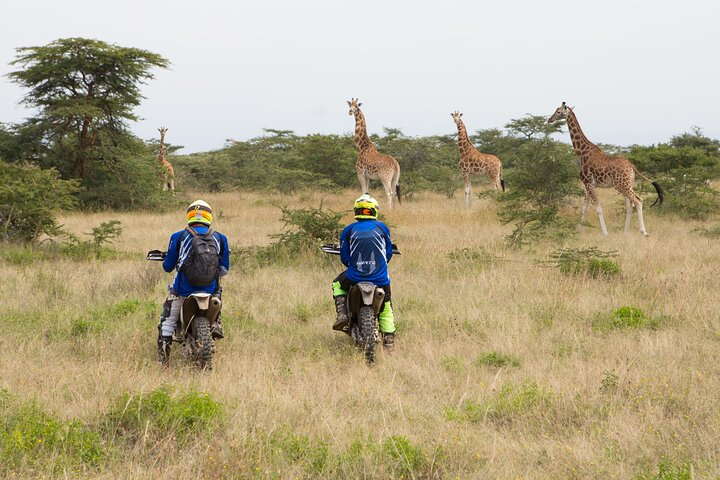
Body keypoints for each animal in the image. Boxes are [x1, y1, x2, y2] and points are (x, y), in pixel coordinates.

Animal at [547, 102, 663, 236]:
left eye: (559, 111)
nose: (549, 119)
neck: (582, 153)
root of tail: (631, 166)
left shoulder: (589, 183)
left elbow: (598, 208)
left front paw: (605, 234)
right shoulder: (587, 185)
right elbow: (584, 209)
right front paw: (579, 233)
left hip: (622, 185)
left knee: (638, 201)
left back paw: (643, 232)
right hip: (627, 184)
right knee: (630, 205)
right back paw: (625, 233)